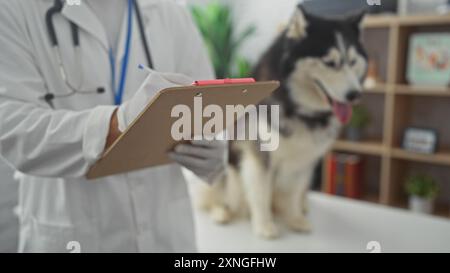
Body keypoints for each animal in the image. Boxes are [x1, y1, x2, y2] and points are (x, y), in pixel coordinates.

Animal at [195, 5, 368, 237]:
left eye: (352, 61)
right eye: (330, 63)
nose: (355, 95)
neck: (299, 110)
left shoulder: (303, 160)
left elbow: (293, 193)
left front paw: (295, 219)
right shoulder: (259, 155)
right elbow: (261, 193)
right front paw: (264, 226)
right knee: (222, 194)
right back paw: (223, 212)